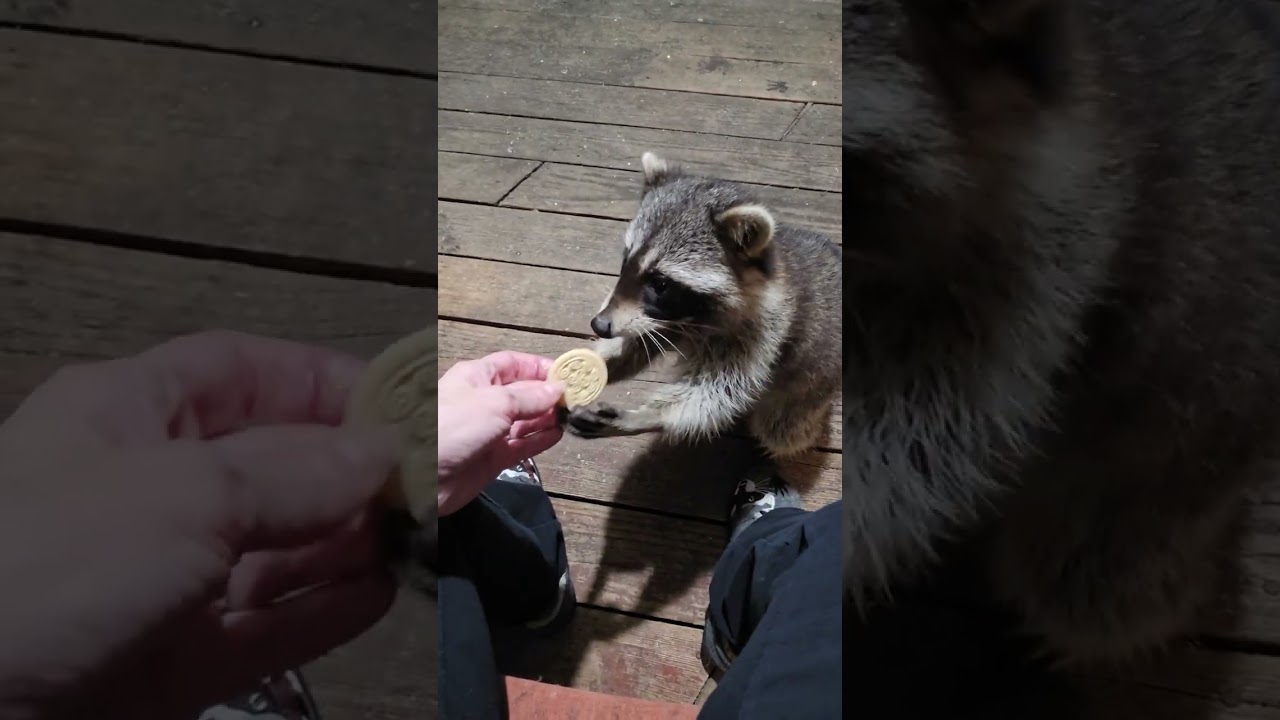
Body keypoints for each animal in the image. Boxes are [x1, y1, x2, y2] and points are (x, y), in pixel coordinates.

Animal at [562, 152, 842, 460]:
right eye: (626, 261)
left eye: (660, 283)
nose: (599, 325)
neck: (693, 318)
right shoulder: (662, 318)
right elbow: (638, 343)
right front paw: (600, 360)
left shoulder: (764, 330)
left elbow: (720, 391)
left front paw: (647, 416)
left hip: (813, 383)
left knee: (781, 428)